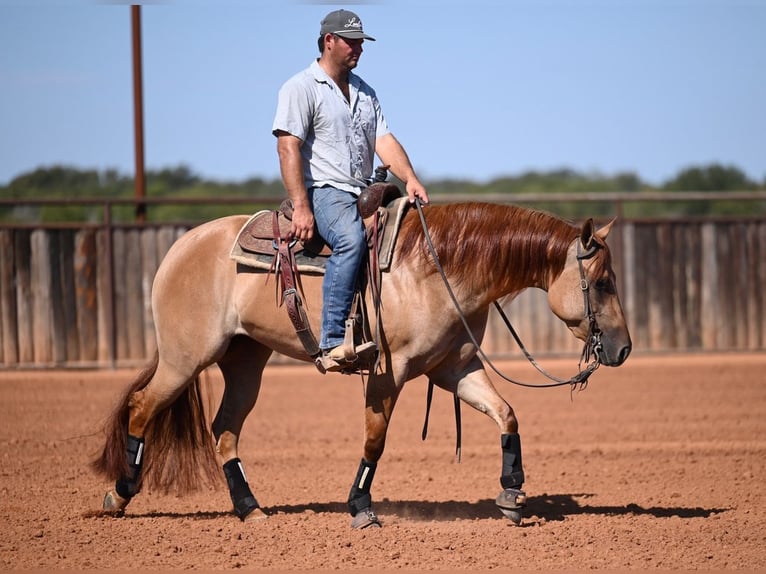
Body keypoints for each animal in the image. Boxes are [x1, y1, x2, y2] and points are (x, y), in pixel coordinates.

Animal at [92, 201, 632, 528]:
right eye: (604, 282)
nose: (624, 349)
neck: (437, 268)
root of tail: (181, 247)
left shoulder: (454, 370)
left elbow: (508, 415)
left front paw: (512, 495)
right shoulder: (388, 373)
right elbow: (375, 441)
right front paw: (360, 507)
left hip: (245, 362)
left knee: (224, 430)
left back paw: (250, 510)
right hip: (184, 360)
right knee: (141, 407)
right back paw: (119, 495)